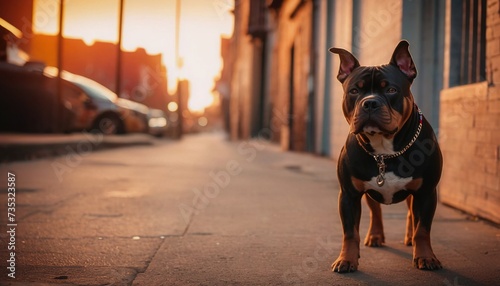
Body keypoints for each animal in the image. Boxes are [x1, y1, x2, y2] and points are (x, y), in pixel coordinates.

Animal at [330, 40, 444, 272]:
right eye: (354, 91)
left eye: (391, 89)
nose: (370, 103)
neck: (385, 150)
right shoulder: (348, 195)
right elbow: (350, 233)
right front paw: (346, 259)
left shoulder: (426, 193)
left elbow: (422, 229)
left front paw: (426, 256)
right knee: (376, 212)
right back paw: (375, 236)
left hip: (415, 195)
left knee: (411, 215)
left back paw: (409, 238)